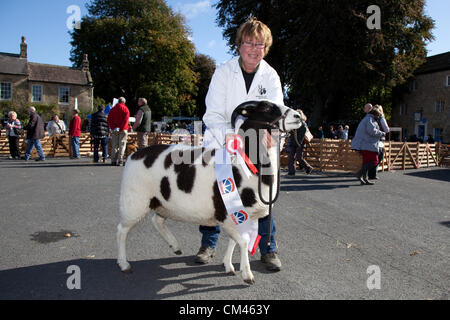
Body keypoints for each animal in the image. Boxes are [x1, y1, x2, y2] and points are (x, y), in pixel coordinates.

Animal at [118, 100, 304, 282]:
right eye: (266, 108)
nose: (299, 117)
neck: (248, 165)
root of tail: (134, 155)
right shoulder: (229, 213)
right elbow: (243, 242)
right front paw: (247, 275)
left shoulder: (240, 215)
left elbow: (234, 241)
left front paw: (229, 266)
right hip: (134, 201)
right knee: (122, 230)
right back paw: (124, 264)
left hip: (162, 202)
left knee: (157, 220)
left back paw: (175, 247)